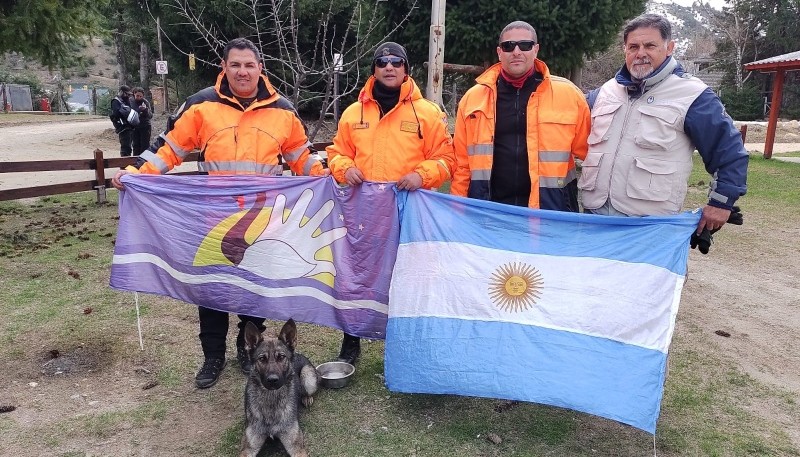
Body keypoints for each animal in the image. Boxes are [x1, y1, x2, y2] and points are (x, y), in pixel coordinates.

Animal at [239, 318, 320, 456]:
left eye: (281, 357)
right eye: (262, 359)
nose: (273, 380)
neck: (271, 398)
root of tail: (298, 354)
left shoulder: (296, 448)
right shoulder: (248, 449)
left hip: (308, 376)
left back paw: (306, 398)